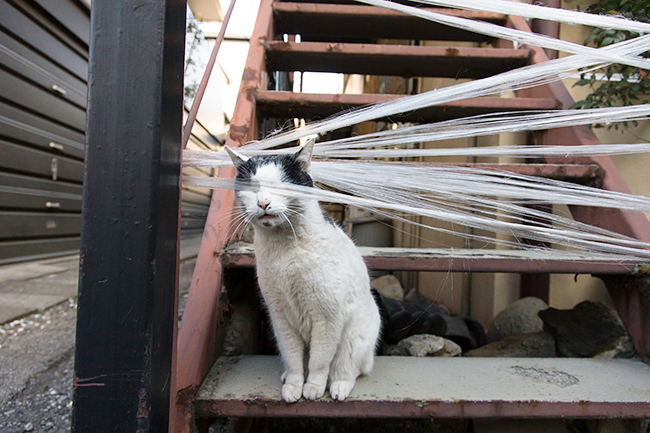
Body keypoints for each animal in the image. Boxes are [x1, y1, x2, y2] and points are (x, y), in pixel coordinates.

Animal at [227, 142, 382, 402]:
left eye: (281, 184)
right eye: (252, 186)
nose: (263, 202)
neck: (285, 249)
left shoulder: (327, 319)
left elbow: (319, 361)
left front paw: (313, 387)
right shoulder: (280, 318)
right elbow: (293, 358)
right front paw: (293, 385)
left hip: (354, 339)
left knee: (347, 368)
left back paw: (338, 386)